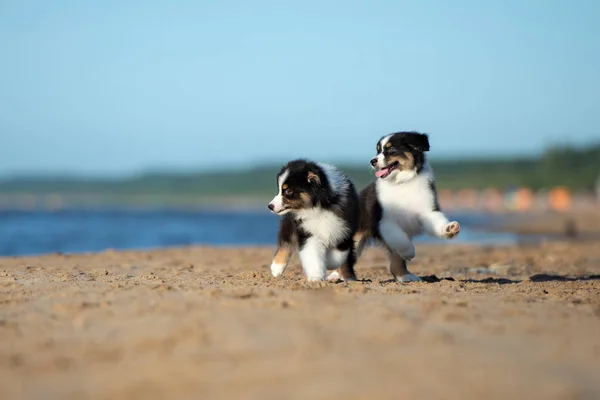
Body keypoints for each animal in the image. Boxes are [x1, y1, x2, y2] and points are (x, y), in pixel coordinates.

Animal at [354, 131, 462, 282]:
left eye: (391, 150)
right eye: (378, 151)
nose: (372, 161)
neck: (403, 182)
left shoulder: (427, 211)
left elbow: (436, 221)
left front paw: (449, 228)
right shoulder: (383, 221)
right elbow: (400, 239)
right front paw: (409, 252)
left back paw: (405, 276)